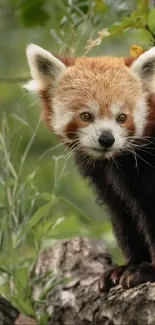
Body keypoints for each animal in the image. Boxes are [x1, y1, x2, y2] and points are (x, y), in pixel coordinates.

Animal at [25, 44, 155, 290]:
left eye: (122, 117)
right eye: (86, 115)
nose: (106, 139)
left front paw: (147, 271)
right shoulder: (105, 176)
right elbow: (123, 212)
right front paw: (129, 266)